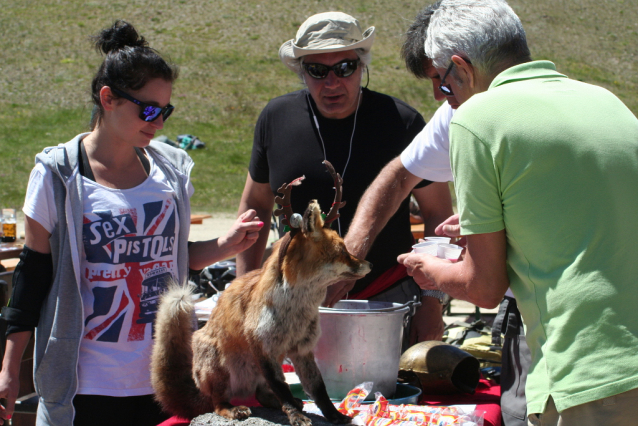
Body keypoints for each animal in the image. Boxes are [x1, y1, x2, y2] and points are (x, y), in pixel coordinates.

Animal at [151, 162, 370, 426]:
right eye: (342, 251)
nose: (369, 264)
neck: (296, 308)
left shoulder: (302, 349)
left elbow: (318, 388)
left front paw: (335, 415)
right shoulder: (263, 347)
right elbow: (282, 386)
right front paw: (296, 416)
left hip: (258, 374)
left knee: (263, 396)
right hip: (218, 365)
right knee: (218, 403)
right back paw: (235, 409)